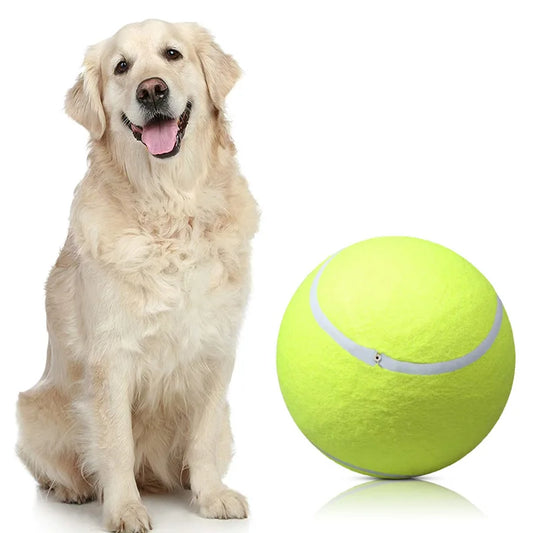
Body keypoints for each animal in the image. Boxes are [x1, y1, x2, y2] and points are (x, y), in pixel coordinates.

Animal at [15, 18, 256, 528]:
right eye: (121, 67)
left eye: (173, 54)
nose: (152, 90)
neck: (172, 206)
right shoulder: (112, 358)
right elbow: (116, 445)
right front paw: (125, 508)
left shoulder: (217, 350)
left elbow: (203, 436)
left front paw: (211, 496)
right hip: (34, 409)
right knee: (54, 466)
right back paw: (71, 489)